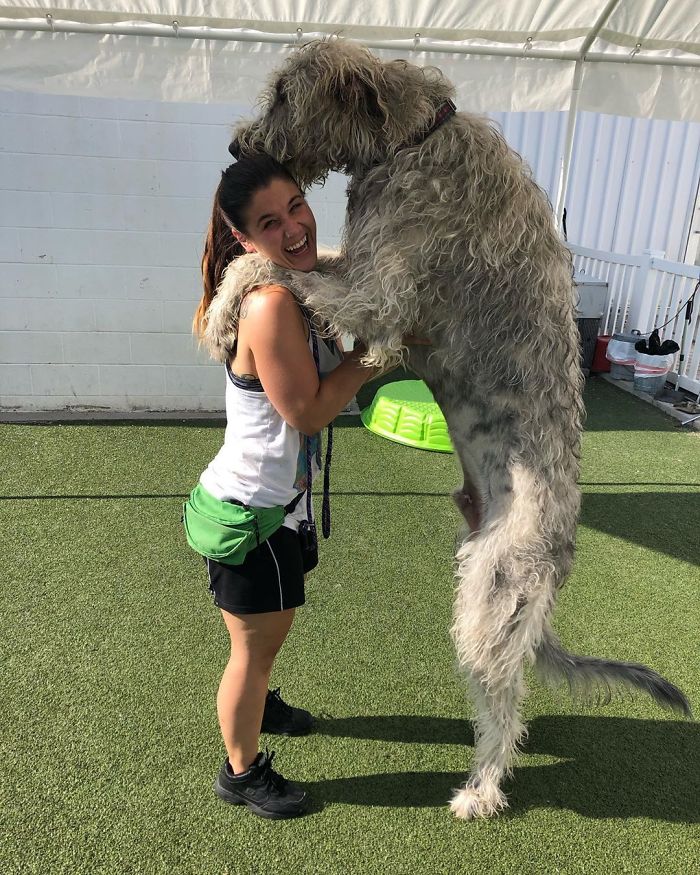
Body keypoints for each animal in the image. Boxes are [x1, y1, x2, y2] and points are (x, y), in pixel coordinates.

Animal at [230, 39, 688, 820]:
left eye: (286, 93)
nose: (238, 144)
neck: (413, 138)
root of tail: (561, 554)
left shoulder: (380, 293)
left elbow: (278, 264)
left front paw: (228, 294)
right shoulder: (359, 263)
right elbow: (297, 263)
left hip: (491, 596)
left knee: (505, 704)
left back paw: (483, 790)